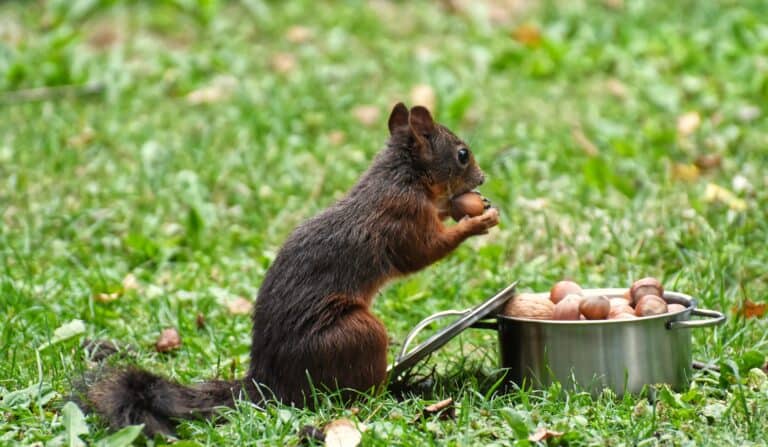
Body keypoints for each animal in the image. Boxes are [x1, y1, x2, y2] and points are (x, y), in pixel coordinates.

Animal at [82, 103, 498, 436]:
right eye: (462, 154)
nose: (481, 179)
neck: (401, 177)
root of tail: (266, 382)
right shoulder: (402, 218)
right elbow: (422, 253)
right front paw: (475, 223)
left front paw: (459, 208)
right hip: (355, 332)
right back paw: (392, 394)